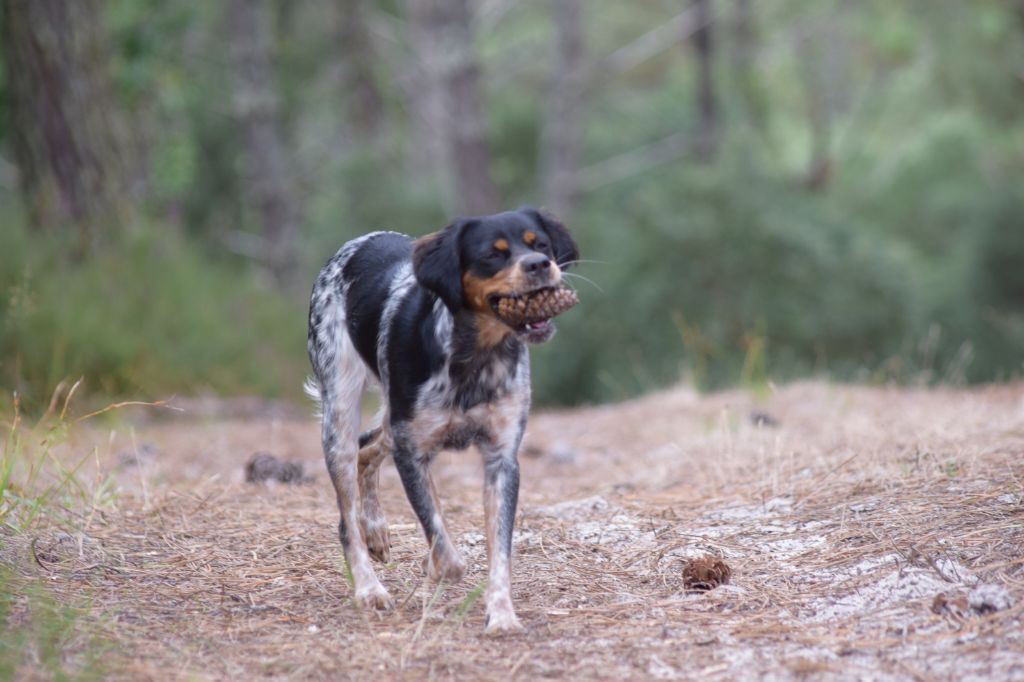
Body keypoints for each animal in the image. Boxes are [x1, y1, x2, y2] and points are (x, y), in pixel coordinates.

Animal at [303, 206, 577, 630]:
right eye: (493, 254)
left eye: (541, 244)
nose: (539, 265)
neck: (476, 357)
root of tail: (359, 242)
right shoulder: (412, 452)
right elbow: (443, 545)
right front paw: (434, 567)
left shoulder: (501, 458)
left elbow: (500, 551)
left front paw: (502, 614)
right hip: (340, 414)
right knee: (347, 518)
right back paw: (368, 587)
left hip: (389, 420)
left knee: (368, 448)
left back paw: (376, 529)